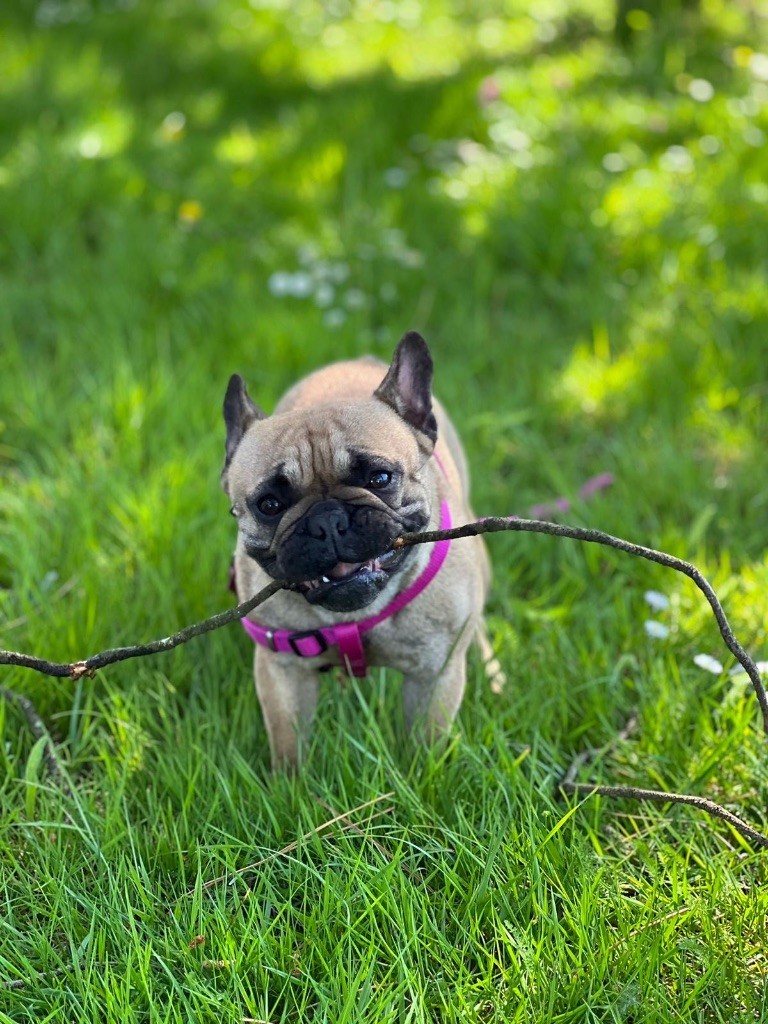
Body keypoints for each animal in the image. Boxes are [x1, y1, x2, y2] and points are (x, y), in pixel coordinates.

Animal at [222, 331, 499, 765]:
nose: (326, 521)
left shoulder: (434, 675)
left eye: (380, 478)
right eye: (269, 504)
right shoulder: (283, 673)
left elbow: (424, 742)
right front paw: (291, 780)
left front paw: (421, 775)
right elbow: (289, 745)